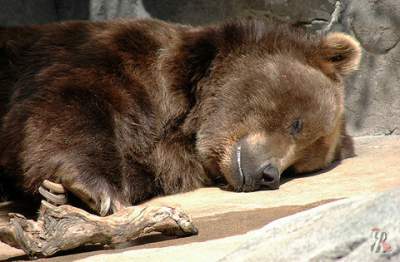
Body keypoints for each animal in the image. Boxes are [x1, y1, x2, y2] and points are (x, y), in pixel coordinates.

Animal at [0, 17, 360, 215]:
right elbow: (73, 101)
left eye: (299, 167)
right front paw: (98, 191)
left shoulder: (160, 160)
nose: (268, 174)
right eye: (297, 124)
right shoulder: (123, 60)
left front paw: (60, 193)